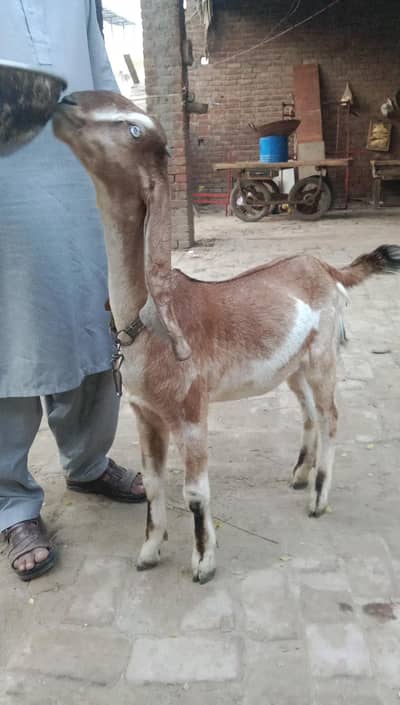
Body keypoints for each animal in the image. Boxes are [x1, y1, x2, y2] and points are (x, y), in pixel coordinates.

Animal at [53, 91, 400, 583]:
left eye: (134, 128)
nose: (64, 102)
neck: (150, 320)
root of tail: (326, 268)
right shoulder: (145, 413)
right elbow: (153, 484)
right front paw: (149, 551)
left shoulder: (191, 410)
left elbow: (194, 492)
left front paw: (203, 562)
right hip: (293, 367)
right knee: (311, 414)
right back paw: (300, 474)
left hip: (322, 357)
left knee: (331, 416)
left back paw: (318, 498)